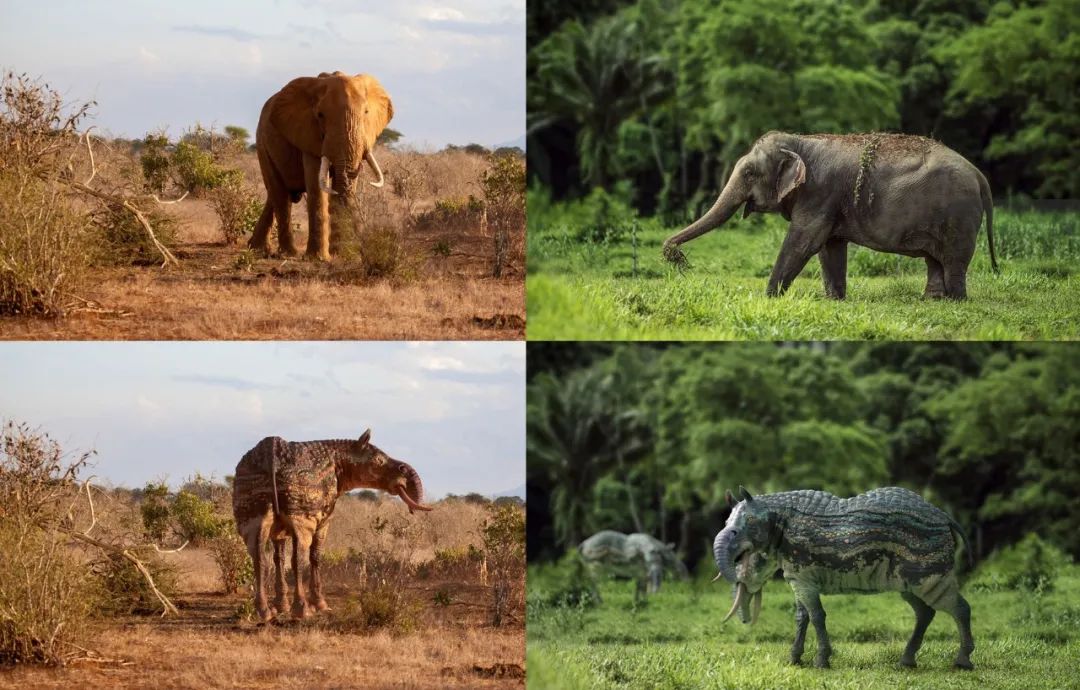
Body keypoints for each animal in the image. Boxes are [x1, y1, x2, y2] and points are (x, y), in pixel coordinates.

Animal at [247, 72, 393, 261]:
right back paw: (288, 253)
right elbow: (316, 185)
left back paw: (256, 248)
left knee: (274, 194)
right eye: (320, 115)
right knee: (280, 194)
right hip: (262, 144)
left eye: (366, 112)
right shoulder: (308, 133)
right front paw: (319, 259)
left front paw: (342, 256)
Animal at [660, 132, 997, 300]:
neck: (802, 141)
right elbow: (830, 246)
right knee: (934, 260)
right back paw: (932, 300)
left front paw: (767, 298)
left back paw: (956, 300)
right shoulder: (830, 201)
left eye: (750, 173)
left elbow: (804, 241)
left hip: (959, 216)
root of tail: (980, 176)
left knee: (953, 260)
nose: (671, 251)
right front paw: (834, 300)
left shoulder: (820, 192)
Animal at [712, 485, 976, 669]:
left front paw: (821, 662)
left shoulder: (804, 575)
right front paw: (794, 660)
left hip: (929, 569)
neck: (777, 515)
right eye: (726, 521)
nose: (745, 621)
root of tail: (944, 516)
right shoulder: (799, 577)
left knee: (960, 608)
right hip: (909, 581)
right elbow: (801, 616)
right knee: (925, 612)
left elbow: (817, 616)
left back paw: (962, 662)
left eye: (748, 522)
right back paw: (906, 662)